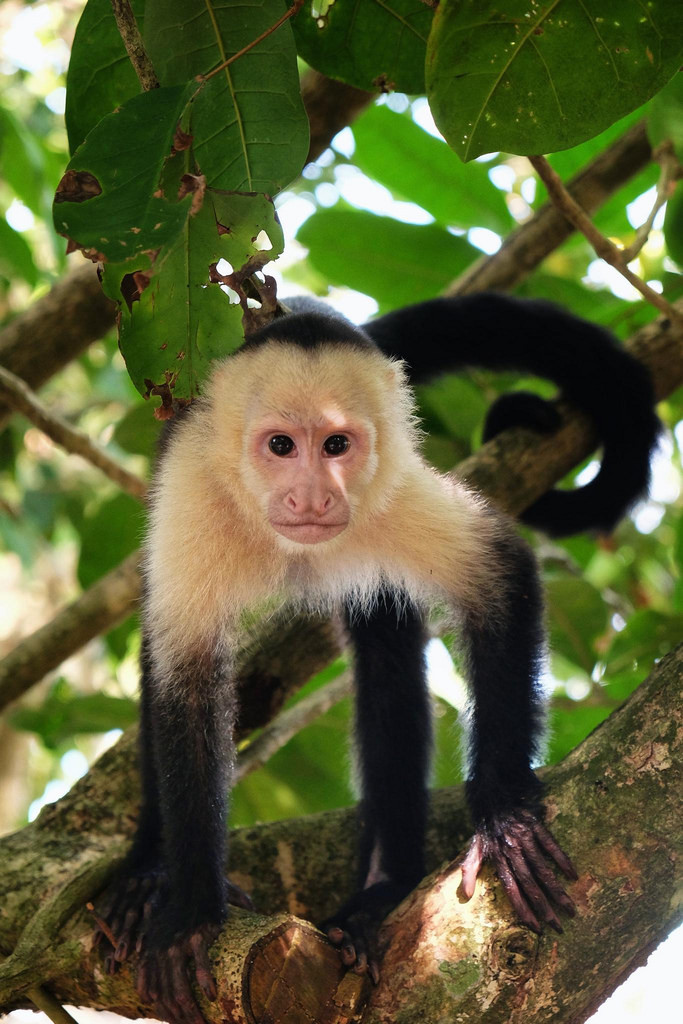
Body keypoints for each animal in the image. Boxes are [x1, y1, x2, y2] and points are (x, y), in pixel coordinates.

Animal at [94, 292, 655, 1019]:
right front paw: (188, 909)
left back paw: (378, 896)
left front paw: (503, 814)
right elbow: (181, 678)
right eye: (281, 446)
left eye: (337, 445)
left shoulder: (393, 492)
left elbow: (500, 574)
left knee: (386, 660)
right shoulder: (193, 500)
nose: (312, 496)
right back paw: (145, 874)